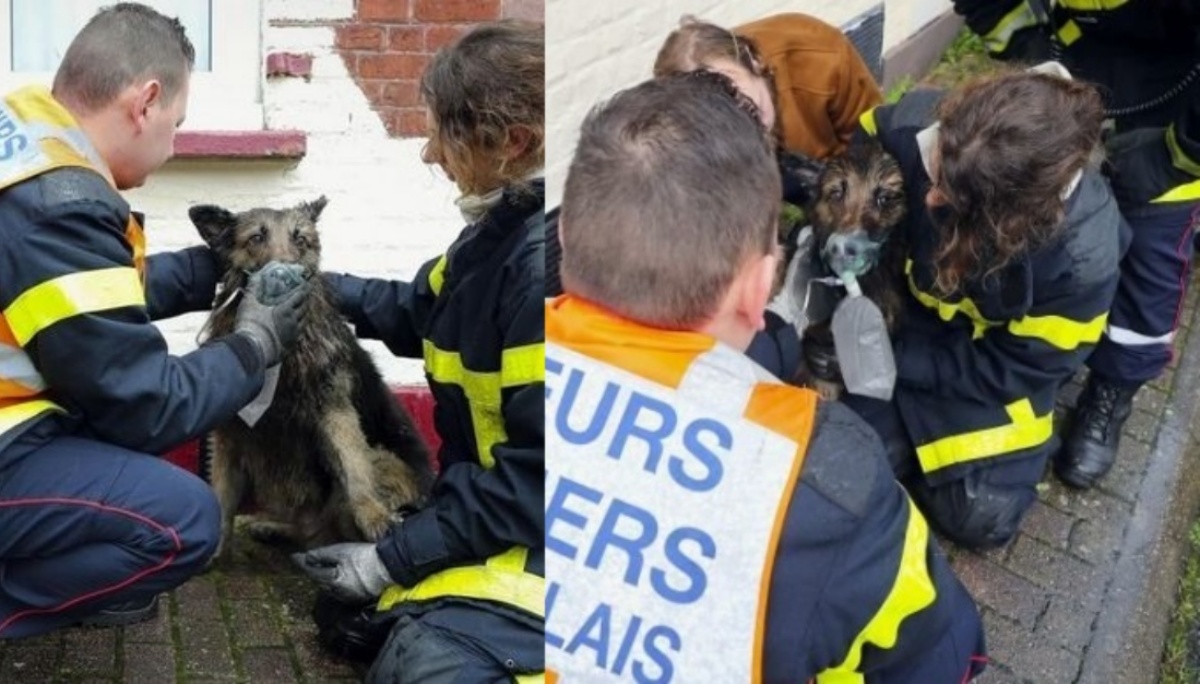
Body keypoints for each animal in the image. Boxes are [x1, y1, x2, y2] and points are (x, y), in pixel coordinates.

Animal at [187, 193, 432, 554]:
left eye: (300, 240)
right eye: (256, 238)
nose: (290, 278)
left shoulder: (335, 413)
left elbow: (354, 466)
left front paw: (372, 513)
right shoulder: (230, 435)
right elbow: (221, 498)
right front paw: (214, 548)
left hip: (383, 460)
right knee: (311, 537)